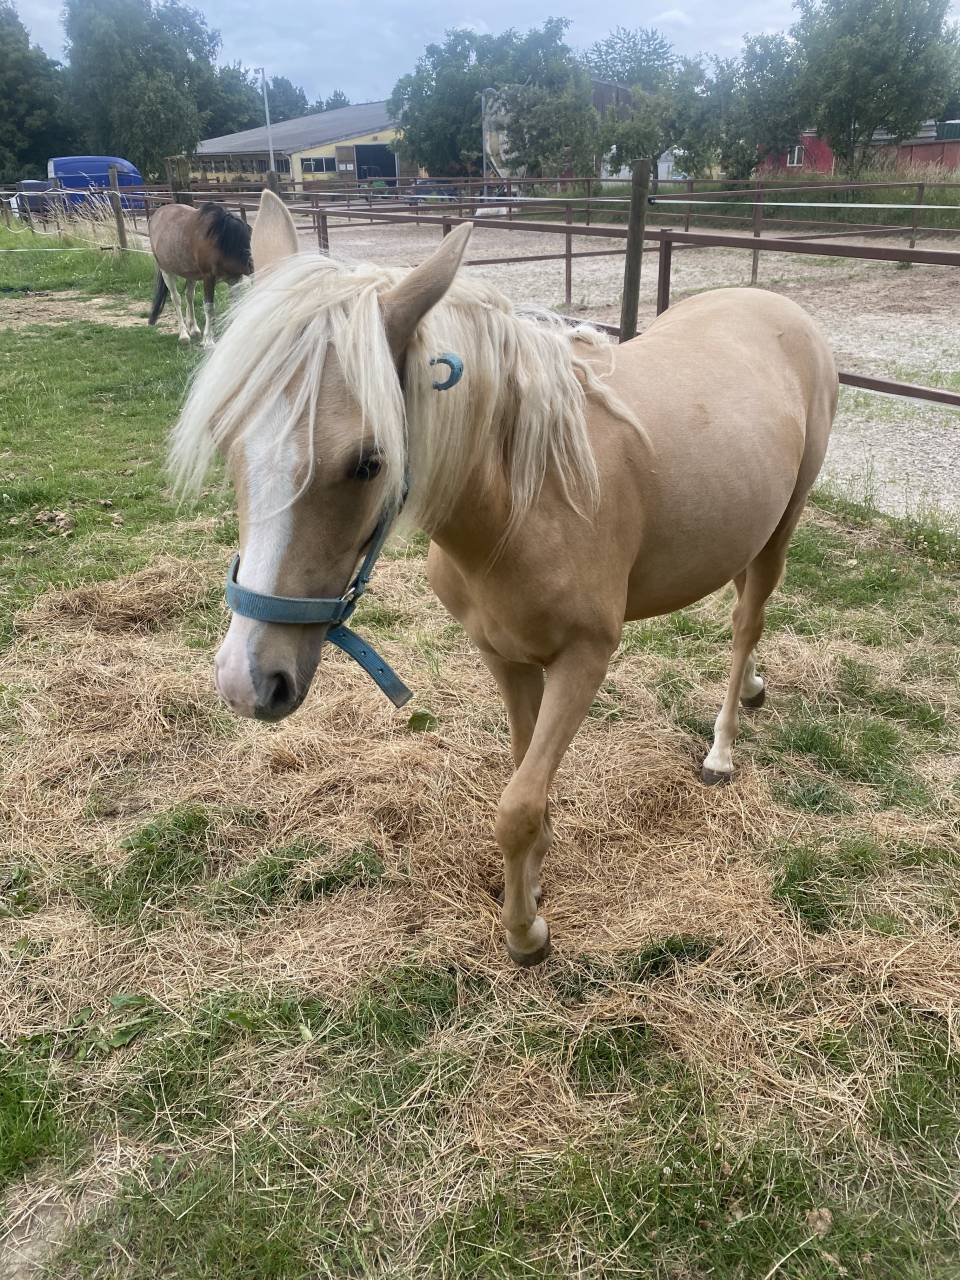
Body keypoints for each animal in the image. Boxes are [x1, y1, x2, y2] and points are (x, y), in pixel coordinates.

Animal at [148, 201, 253, 348]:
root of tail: (157, 213)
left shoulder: (233, 278)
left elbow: (234, 304)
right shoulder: (209, 278)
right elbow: (209, 307)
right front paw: (208, 340)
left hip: (191, 275)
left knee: (189, 296)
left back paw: (194, 328)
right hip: (166, 272)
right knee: (176, 299)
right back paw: (184, 335)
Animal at [170, 190, 838, 967]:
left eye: (369, 462)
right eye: (227, 438)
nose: (247, 681)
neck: (527, 499)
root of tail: (780, 308)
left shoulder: (584, 659)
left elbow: (516, 805)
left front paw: (527, 933)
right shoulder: (504, 656)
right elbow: (525, 774)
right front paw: (537, 882)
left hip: (785, 523)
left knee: (745, 624)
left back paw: (722, 748)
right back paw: (755, 689)